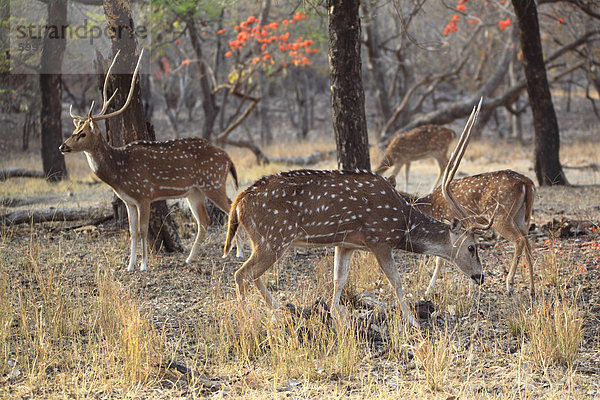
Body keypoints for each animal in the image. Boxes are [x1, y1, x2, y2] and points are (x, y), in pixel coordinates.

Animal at [58, 48, 241, 270]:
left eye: (82, 133)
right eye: (74, 130)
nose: (62, 146)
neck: (119, 172)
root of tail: (228, 157)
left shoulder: (144, 194)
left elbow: (143, 229)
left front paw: (144, 265)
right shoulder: (129, 201)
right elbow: (132, 231)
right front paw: (130, 266)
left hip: (213, 182)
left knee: (231, 208)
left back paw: (238, 253)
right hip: (194, 191)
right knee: (204, 221)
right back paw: (190, 258)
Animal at [225, 101, 488, 326]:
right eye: (472, 247)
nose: (480, 276)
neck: (402, 224)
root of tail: (239, 200)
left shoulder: (345, 243)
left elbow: (338, 280)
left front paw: (333, 316)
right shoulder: (379, 239)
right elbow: (396, 280)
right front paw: (412, 321)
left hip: (264, 241)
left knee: (252, 275)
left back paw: (278, 310)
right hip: (273, 238)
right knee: (241, 274)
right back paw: (246, 320)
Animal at [406, 169, 536, 296]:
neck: (430, 207)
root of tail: (528, 183)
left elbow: (440, 260)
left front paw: (428, 291)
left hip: (501, 217)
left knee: (519, 240)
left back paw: (510, 285)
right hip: (522, 218)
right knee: (528, 245)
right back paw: (531, 290)